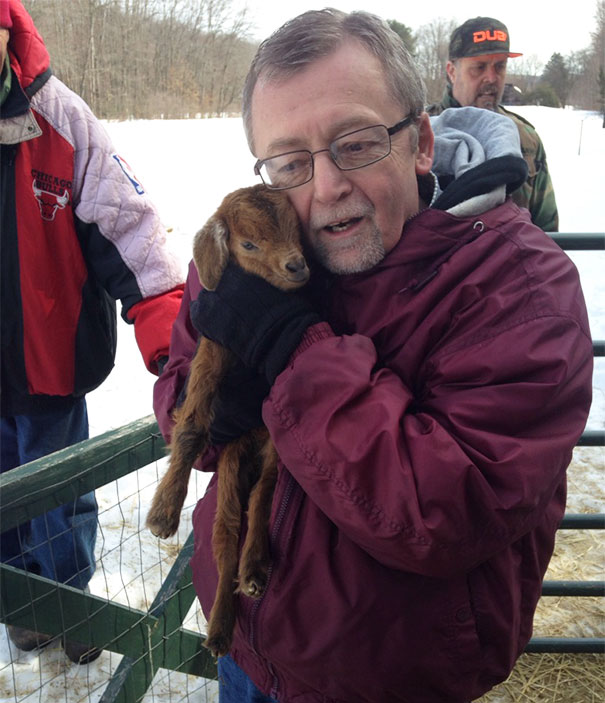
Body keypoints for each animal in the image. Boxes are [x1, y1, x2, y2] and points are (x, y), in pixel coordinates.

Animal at [146, 184, 309, 658]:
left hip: (269, 450)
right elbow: (191, 428)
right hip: (232, 458)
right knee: (224, 536)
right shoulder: (211, 353)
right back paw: (220, 627)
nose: (297, 266)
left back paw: (253, 570)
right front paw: (163, 514)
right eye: (249, 244)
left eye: (296, 228)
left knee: (261, 499)